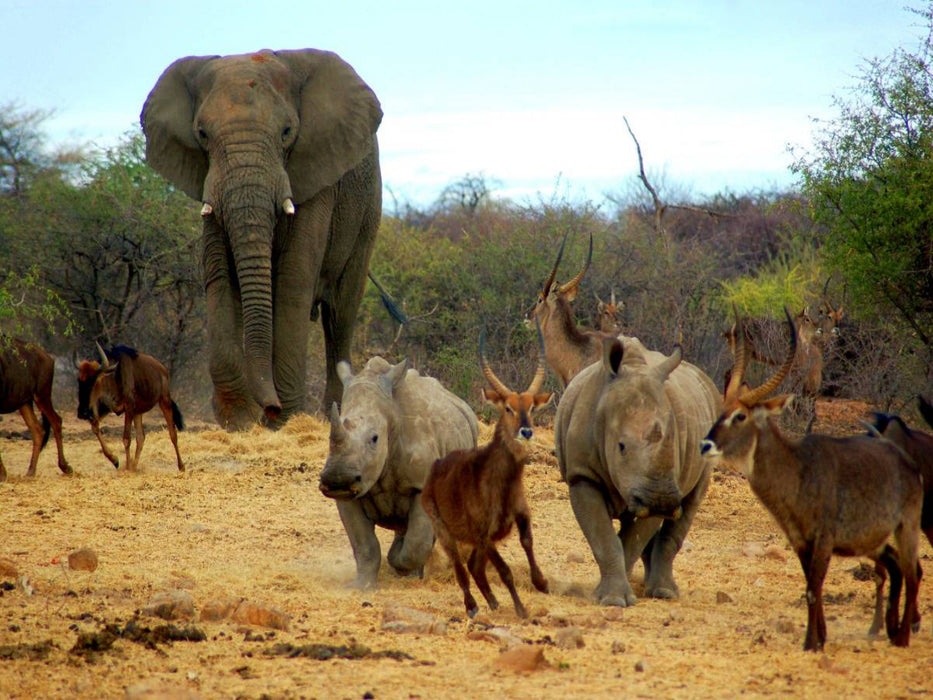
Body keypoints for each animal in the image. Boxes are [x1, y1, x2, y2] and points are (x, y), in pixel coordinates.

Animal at [141, 49, 383, 429]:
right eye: (202, 134)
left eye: (287, 132)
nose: (270, 408)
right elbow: (220, 276)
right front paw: (239, 419)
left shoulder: (314, 173)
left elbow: (294, 278)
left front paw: (284, 419)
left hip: (367, 209)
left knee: (340, 314)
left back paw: (334, 414)